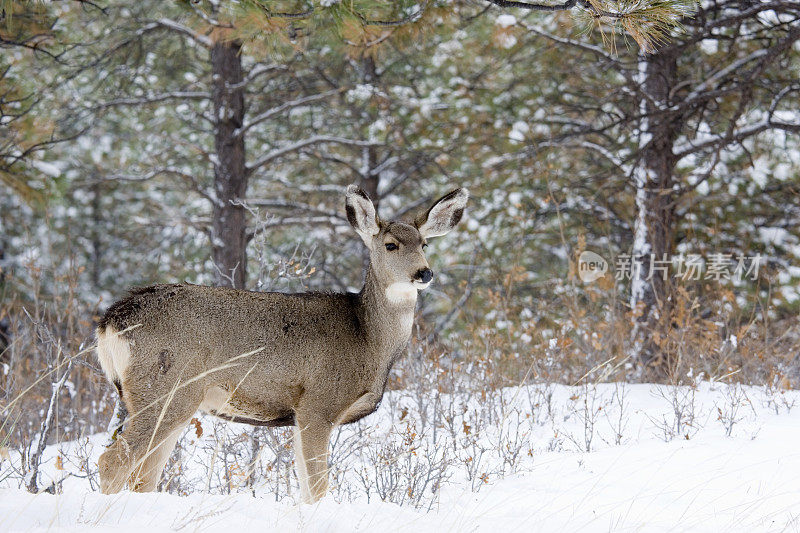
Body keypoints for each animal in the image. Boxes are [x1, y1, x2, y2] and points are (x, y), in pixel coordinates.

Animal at [96, 185, 466, 500]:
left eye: (424, 245)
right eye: (390, 245)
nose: (424, 273)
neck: (369, 339)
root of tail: (111, 321)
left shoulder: (300, 416)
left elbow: (304, 487)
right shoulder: (318, 404)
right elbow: (318, 488)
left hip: (165, 399)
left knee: (144, 475)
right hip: (165, 387)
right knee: (114, 461)